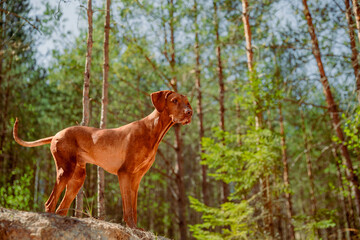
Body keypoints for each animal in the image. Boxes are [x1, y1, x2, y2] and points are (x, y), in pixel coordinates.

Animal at [13, 90, 193, 229]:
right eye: (174, 101)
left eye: (187, 103)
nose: (189, 113)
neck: (153, 130)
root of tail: (57, 134)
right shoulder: (124, 173)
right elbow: (128, 207)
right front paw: (131, 227)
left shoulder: (137, 178)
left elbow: (134, 207)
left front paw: (136, 228)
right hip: (65, 170)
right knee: (50, 204)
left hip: (77, 178)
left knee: (61, 208)